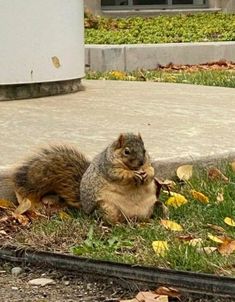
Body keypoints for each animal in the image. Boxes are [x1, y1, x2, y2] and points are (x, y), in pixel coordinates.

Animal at [8, 133, 157, 223]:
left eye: (144, 150)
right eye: (126, 151)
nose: (141, 162)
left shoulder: (147, 163)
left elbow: (151, 171)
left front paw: (146, 173)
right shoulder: (108, 167)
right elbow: (119, 174)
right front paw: (132, 175)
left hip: (148, 208)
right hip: (107, 208)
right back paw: (116, 225)